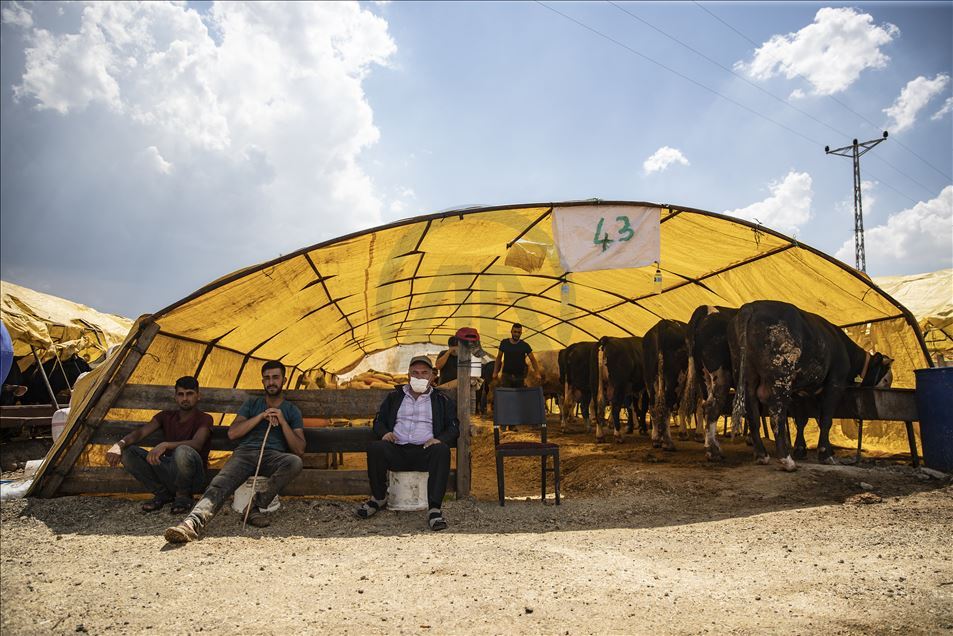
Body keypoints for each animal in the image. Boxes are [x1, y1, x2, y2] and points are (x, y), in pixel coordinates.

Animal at [644, 320, 688, 450]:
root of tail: (662, 324)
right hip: (673, 377)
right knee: (666, 405)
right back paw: (668, 442)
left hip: (650, 378)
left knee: (653, 406)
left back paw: (656, 439)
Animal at [676, 306, 744, 460]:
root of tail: (706, 309)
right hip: (720, 374)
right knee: (711, 406)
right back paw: (713, 451)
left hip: (703, 376)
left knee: (702, 405)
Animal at [728, 300, 892, 472]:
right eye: (886, 379)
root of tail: (751, 306)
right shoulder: (835, 384)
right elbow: (825, 419)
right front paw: (826, 454)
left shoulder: (799, 392)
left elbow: (802, 420)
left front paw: (802, 449)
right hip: (781, 377)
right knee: (776, 415)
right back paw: (787, 460)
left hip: (745, 374)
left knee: (752, 414)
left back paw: (762, 455)